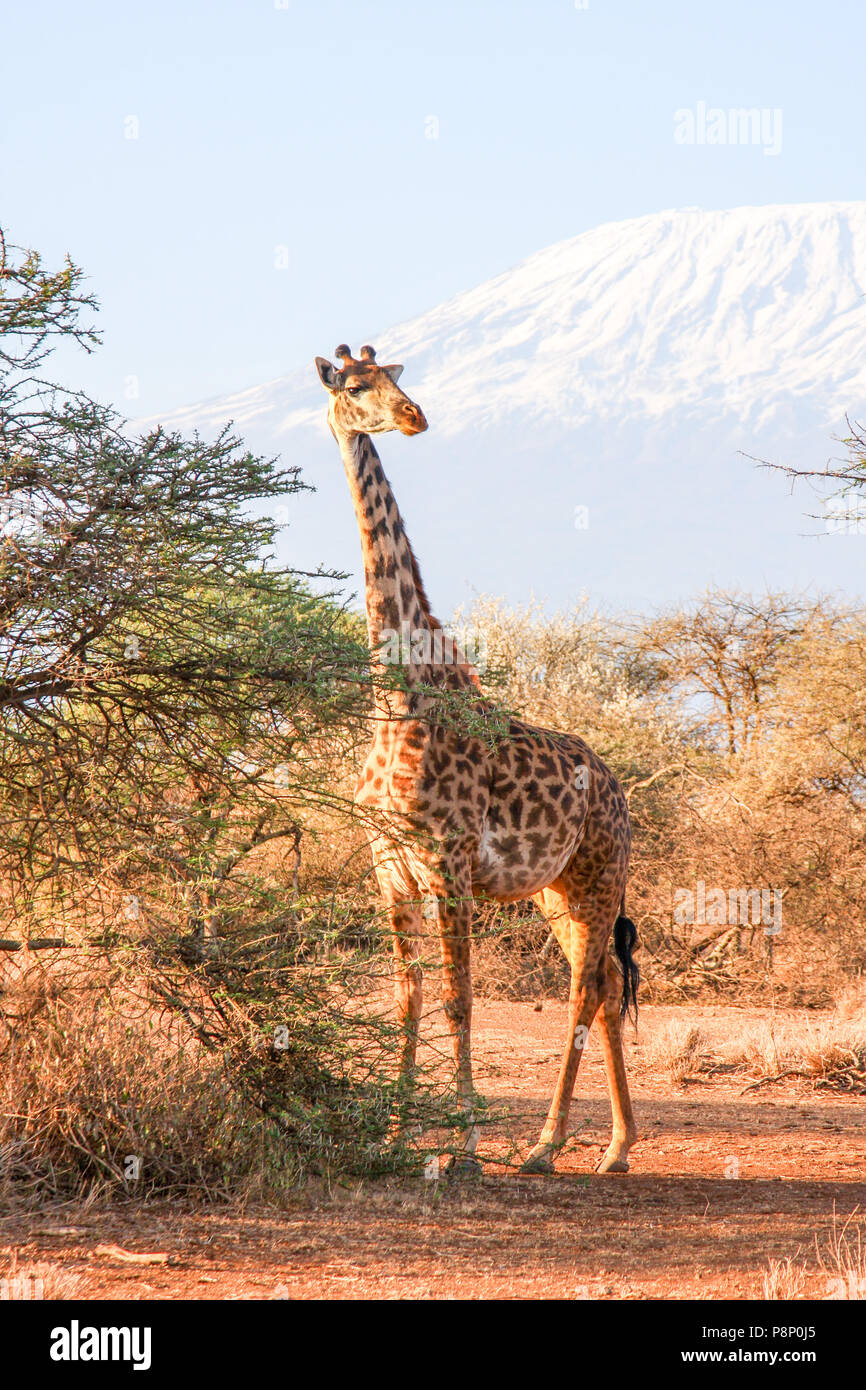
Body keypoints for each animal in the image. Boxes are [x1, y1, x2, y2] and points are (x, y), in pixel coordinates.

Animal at [315, 344, 639, 1173]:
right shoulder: (389, 868)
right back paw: (616, 1148)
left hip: (599, 877)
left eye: (397, 379)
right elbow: (408, 999)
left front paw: (461, 1146)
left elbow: (460, 1000)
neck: (398, 698)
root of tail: (619, 791)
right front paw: (394, 1138)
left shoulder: (449, 861)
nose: (413, 417)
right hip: (557, 890)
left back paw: (546, 1145)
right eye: (357, 384)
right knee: (602, 987)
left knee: (584, 989)